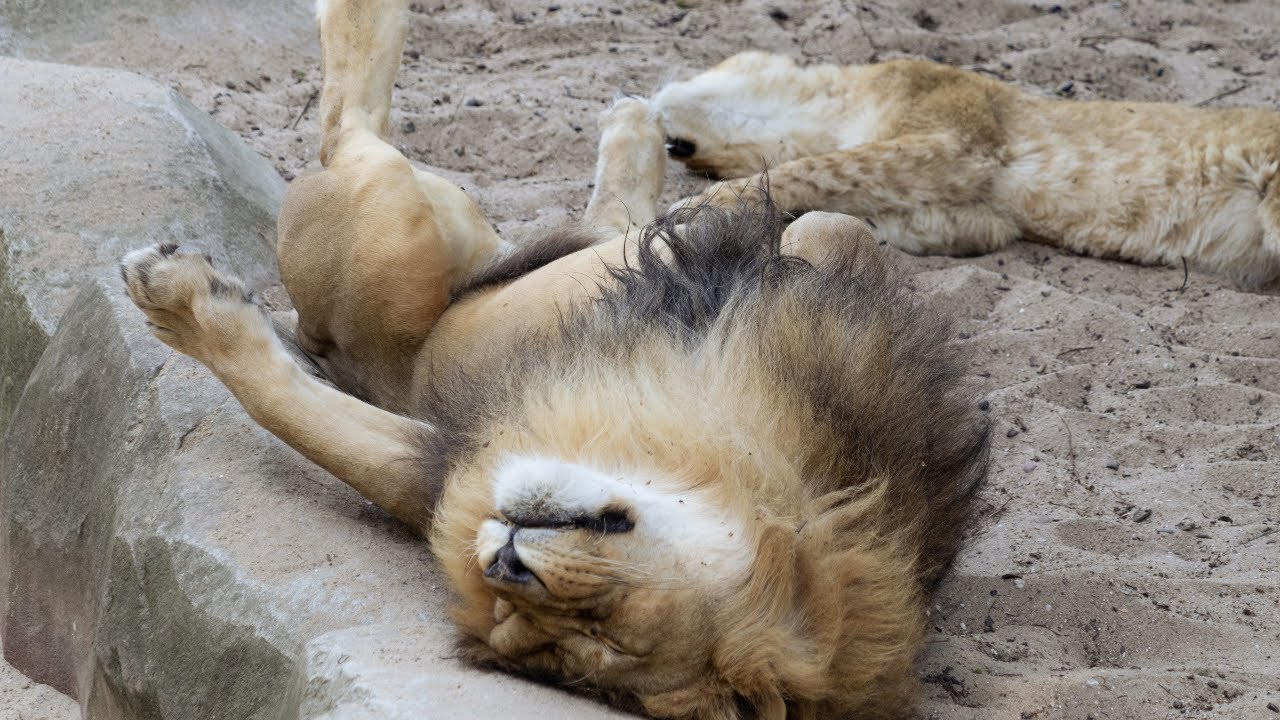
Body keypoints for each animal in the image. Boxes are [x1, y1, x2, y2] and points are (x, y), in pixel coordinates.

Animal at [119, 1, 989, 718]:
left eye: (589, 626)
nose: (508, 560)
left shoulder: (449, 460)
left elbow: (300, 415)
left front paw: (178, 301)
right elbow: (818, 230)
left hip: (392, 240)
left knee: (356, 134)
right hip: (414, 239)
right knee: (389, 141)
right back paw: (629, 128)